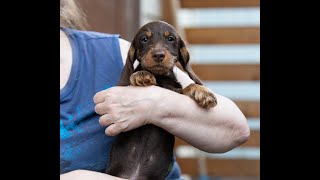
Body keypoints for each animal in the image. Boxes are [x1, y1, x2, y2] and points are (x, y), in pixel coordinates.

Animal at [106, 20, 216, 179]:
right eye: (144, 39)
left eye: (170, 39)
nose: (158, 55)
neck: (160, 78)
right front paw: (141, 74)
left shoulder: (175, 90)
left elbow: (188, 86)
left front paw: (203, 92)